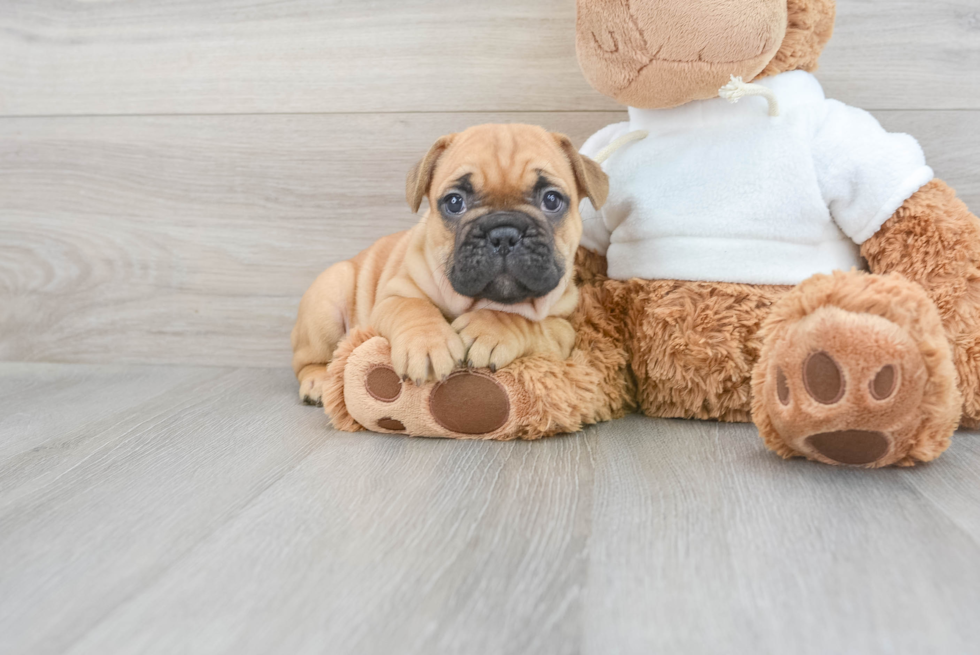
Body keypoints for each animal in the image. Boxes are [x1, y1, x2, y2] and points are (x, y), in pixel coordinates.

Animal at [290, 123, 608, 404]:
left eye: (552, 200)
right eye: (454, 202)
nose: (504, 233)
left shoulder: (563, 330)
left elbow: (522, 319)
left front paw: (491, 328)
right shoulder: (393, 297)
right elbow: (413, 308)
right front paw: (427, 343)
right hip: (327, 302)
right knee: (308, 360)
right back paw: (318, 382)